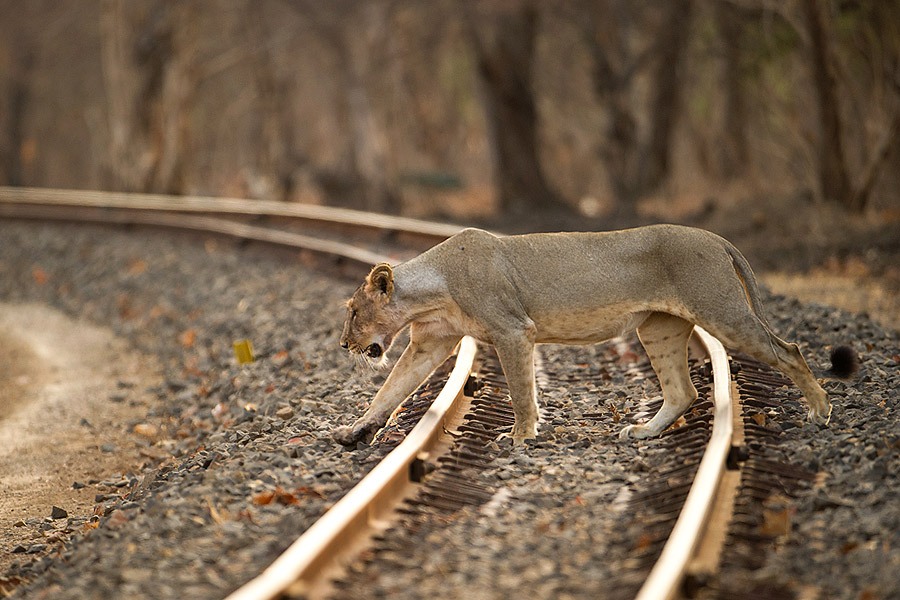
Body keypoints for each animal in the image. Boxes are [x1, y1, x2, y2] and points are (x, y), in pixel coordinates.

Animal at [332, 227, 856, 448]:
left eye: (354, 312)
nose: (343, 345)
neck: (432, 290)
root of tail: (716, 238)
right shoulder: (431, 342)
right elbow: (390, 388)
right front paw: (356, 430)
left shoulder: (512, 330)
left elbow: (520, 392)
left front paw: (520, 437)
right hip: (657, 328)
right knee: (683, 391)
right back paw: (642, 432)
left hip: (722, 311)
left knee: (788, 350)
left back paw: (821, 412)